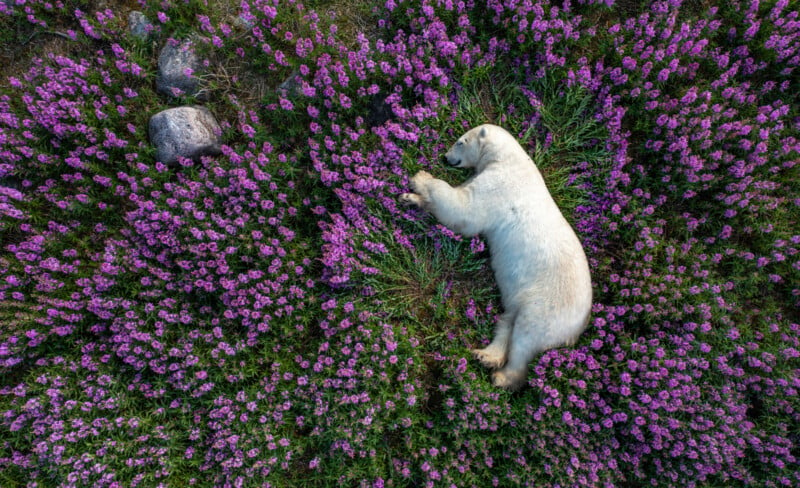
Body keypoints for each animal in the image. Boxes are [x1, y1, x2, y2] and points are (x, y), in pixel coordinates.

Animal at [400, 125, 592, 388]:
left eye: (460, 141)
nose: (445, 157)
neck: (509, 160)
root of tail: (579, 327)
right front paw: (410, 198)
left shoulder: (499, 186)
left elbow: (463, 208)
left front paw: (420, 178)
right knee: (508, 321)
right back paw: (486, 355)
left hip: (547, 306)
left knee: (525, 337)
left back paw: (502, 377)